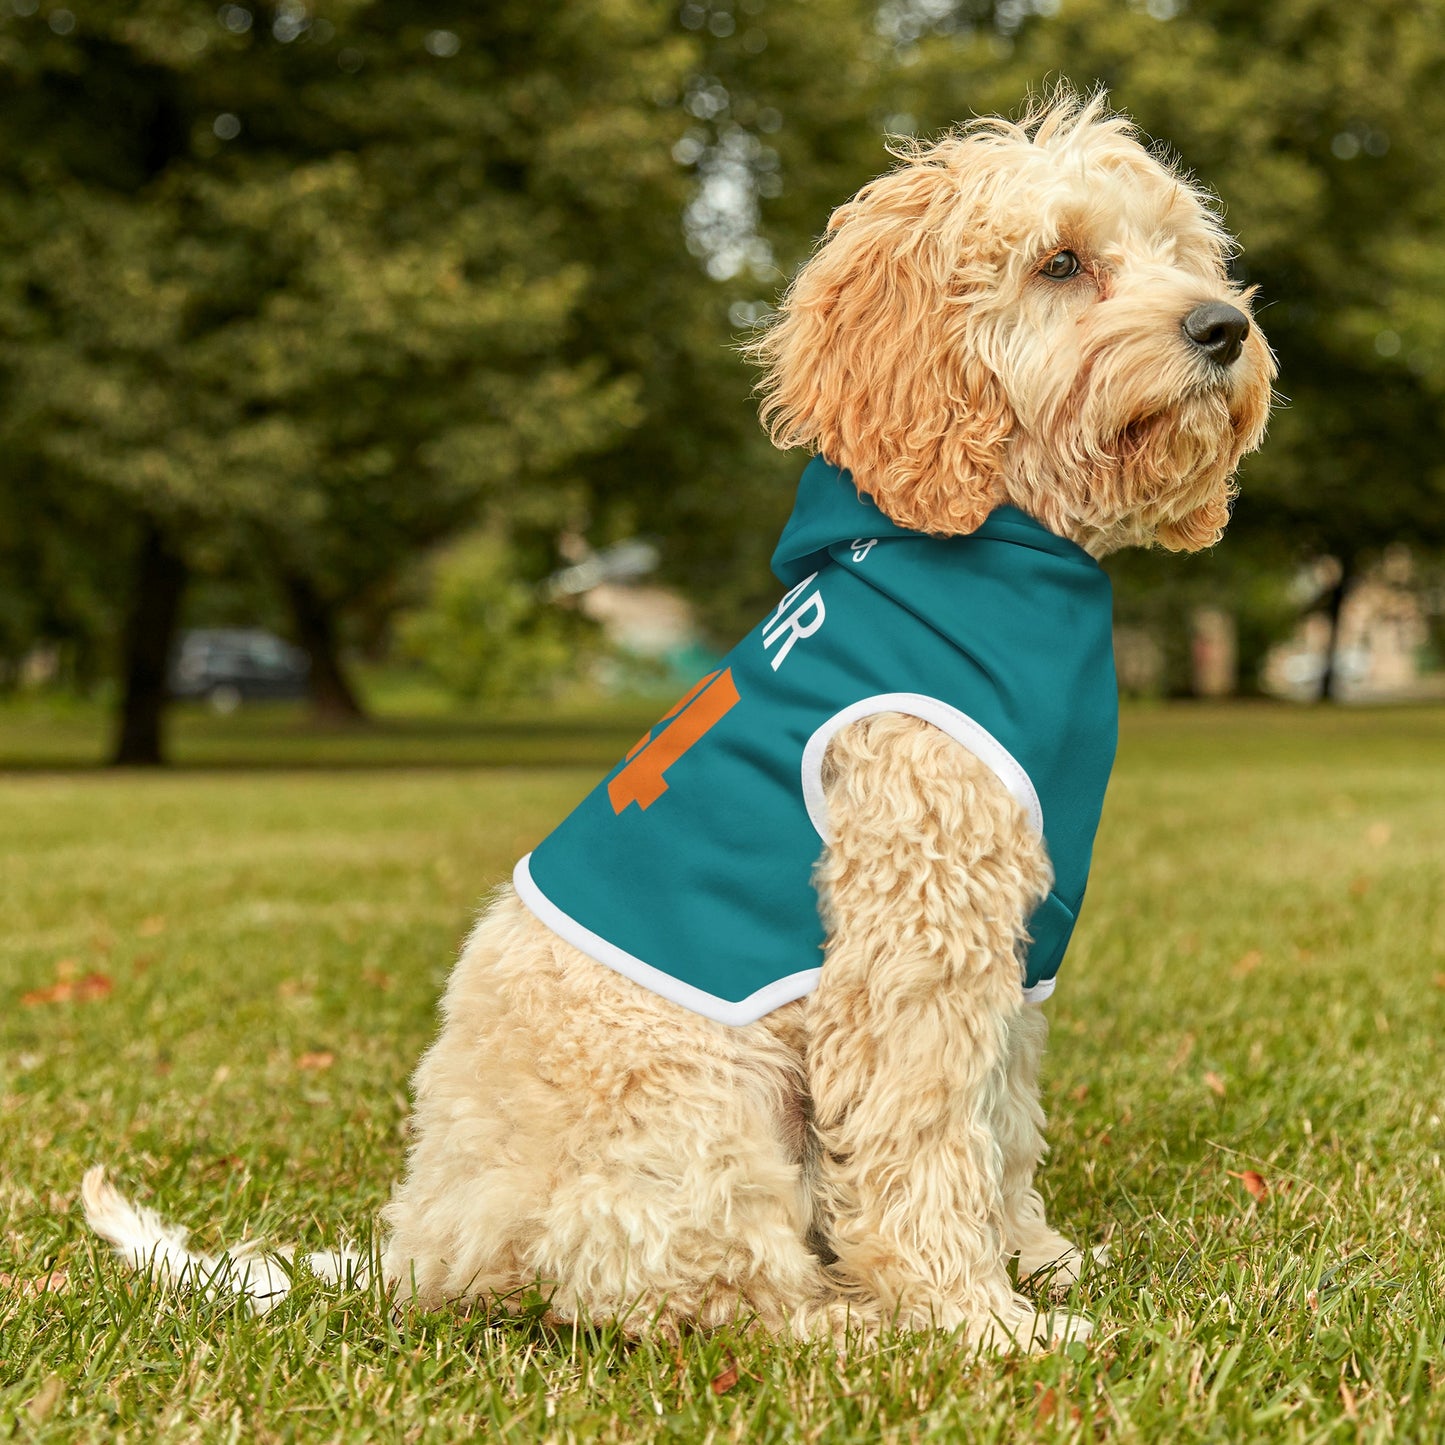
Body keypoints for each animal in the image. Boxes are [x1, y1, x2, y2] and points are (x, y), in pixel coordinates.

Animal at [84, 93, 1271, 1352]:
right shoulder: (913, 936)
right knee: (698, 1290)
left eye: (1180, 252)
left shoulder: (1013, 942)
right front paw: (976, 1318)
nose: (1222, 327)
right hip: (704, 1101)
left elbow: (999, 1120)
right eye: (1059, 262)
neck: (990, 544)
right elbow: (924, 1137)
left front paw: (1034, 1260)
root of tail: (424, 1245)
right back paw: (852, 1322)